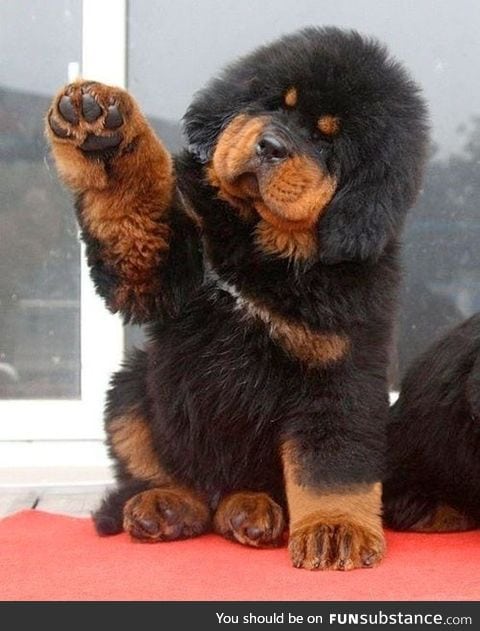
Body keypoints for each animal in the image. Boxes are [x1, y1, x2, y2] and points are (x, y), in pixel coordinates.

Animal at [45, 24, 428, 572]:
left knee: (238, 490)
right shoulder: (159, 271)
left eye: (327, 138)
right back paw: (169, 505)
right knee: (166, 471)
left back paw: (250, 509)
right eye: (275, 104)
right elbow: (130, 207)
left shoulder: (340, 371)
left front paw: (335, 529)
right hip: (134, 387)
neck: (261, 245)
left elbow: (332, 465)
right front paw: (102, 132)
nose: (270, 145)